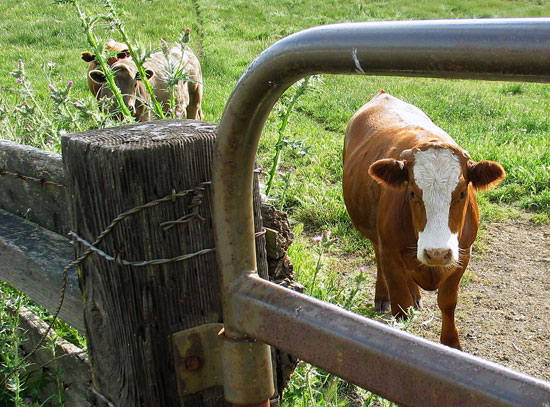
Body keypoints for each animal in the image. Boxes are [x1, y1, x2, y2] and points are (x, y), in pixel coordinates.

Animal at [344, 91, 508, 350]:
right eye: (412, 192)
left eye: (462, 193)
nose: (437, 253)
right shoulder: (390, 251)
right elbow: (400, 307)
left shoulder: (464, 253)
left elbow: (448, 302)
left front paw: (452, 345)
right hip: (376, 237)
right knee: (378, 256)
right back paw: (382, 295)